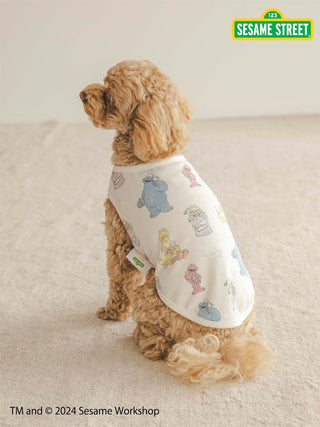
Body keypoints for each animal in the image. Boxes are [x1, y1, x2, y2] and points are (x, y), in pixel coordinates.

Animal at [80, 60, 272, 384]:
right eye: (103, 80)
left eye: (111, 95)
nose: (82, 94)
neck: (149, 155)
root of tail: (223, 344)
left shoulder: (120, 235)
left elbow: (118, 279)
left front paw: (111, 312)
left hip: (151, 298)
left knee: (160, 343)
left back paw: (141, 338)